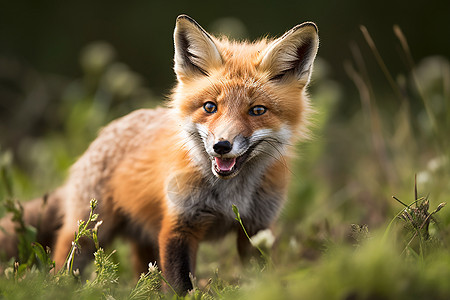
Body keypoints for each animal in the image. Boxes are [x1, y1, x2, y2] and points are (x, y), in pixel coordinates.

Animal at [0, 15, 318, 294]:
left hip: (144, 241)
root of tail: (103, 134)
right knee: (64, 264)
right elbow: (180, 285)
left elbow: (259, 277)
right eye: (210, 107)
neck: (230, 197)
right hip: (89, 233)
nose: (222, 146)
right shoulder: (178, 225)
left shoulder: (256, 229)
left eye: (257, 111)